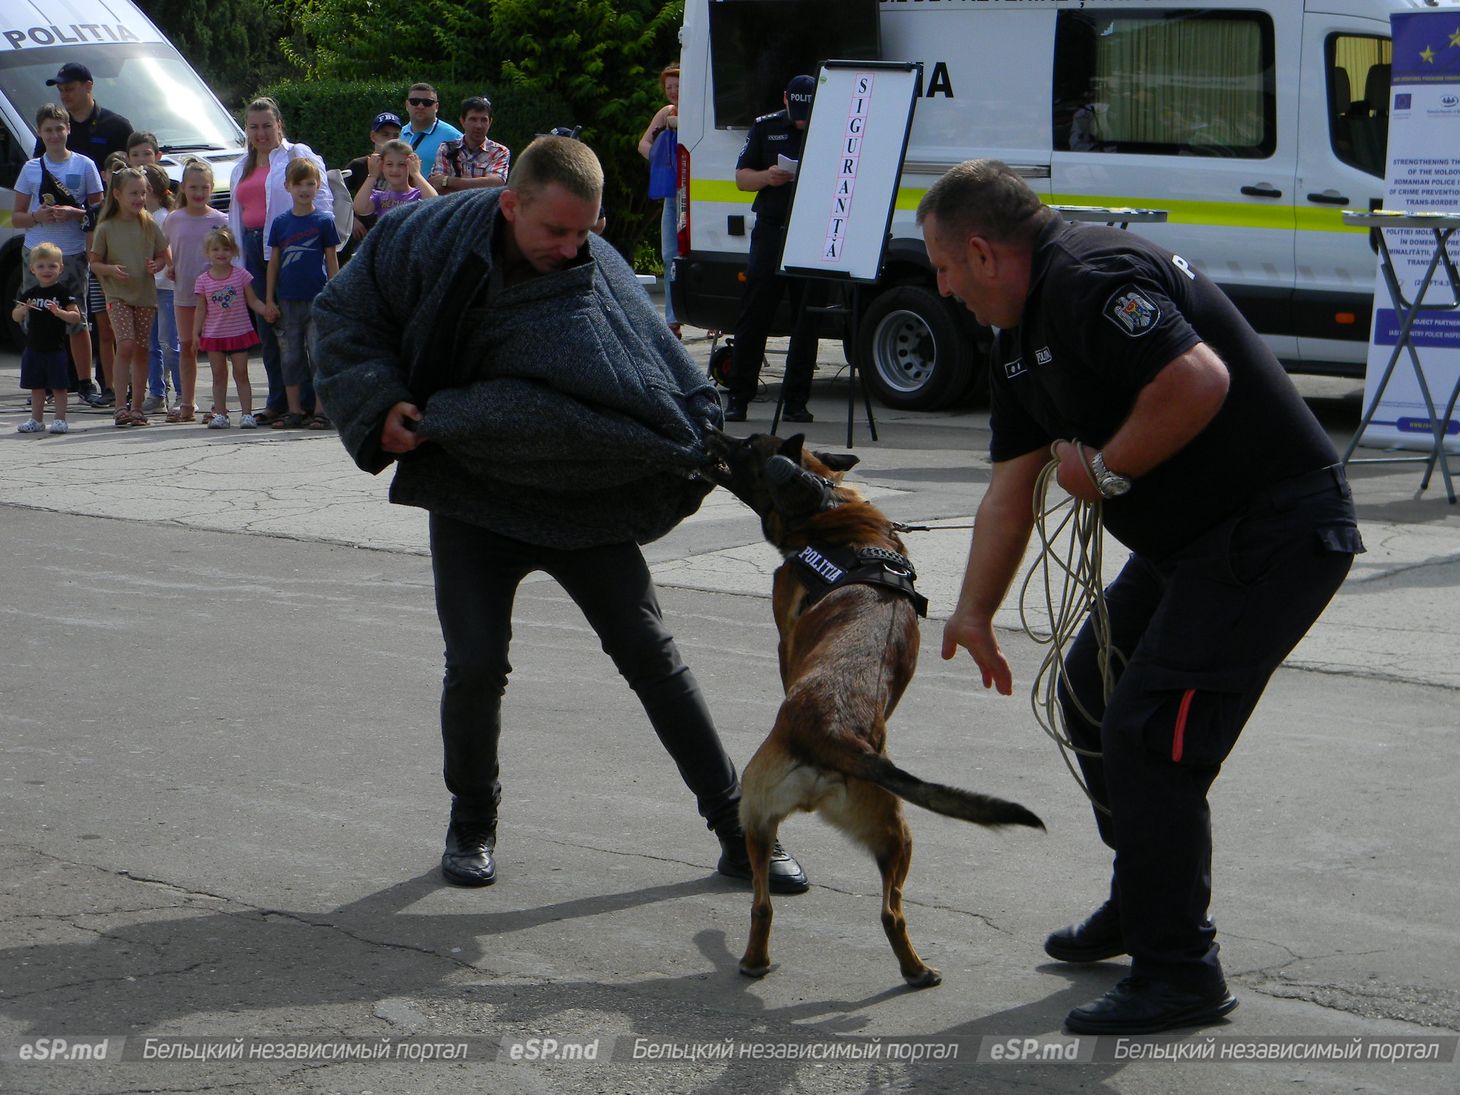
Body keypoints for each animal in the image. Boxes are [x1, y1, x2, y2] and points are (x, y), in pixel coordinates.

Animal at [700, 432, 1045, 992]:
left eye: (749, 445)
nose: (714, 429)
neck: (829, 506)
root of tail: (832, 734)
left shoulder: (784, 639)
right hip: (861, 834)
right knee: (835, 910)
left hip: (819, 824)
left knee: (831, 909)